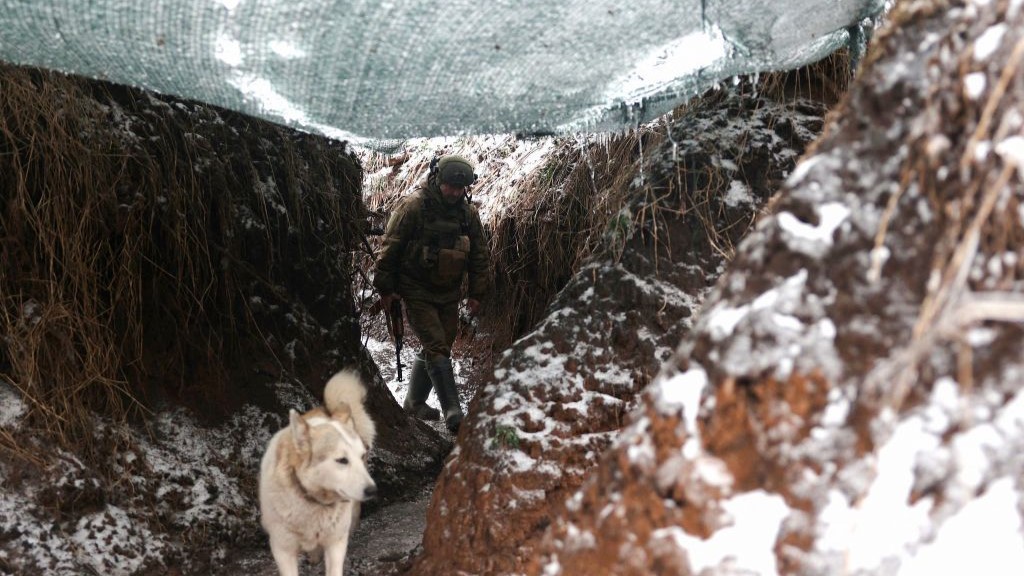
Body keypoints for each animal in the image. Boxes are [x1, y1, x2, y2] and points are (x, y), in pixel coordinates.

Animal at [260, 368, 380, 569]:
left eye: (361, 456)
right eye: (342, 460)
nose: (373, 490)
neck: (314, 502)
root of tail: (328, 412)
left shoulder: (336, 543)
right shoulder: (282, 550)